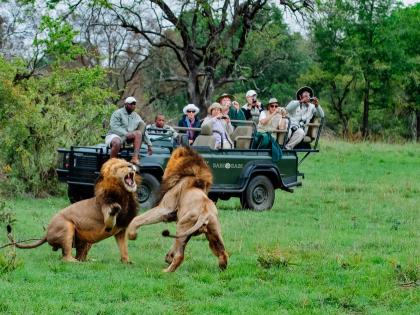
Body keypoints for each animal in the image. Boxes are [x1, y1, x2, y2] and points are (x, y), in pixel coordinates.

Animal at [6, 158, 139, 264]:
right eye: (122, 166)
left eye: (129, 163)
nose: (131, 166)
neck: (126, 195)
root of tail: (47, 232)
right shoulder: (107, 217)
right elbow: (110, 217)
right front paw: (115, 208)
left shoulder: (121, 231)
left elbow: (124, 248)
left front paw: (127, 262)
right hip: (67, 227)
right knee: (66, 257)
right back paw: (78, 263)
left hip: (85, 240)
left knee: (79, 255)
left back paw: (89, 260)